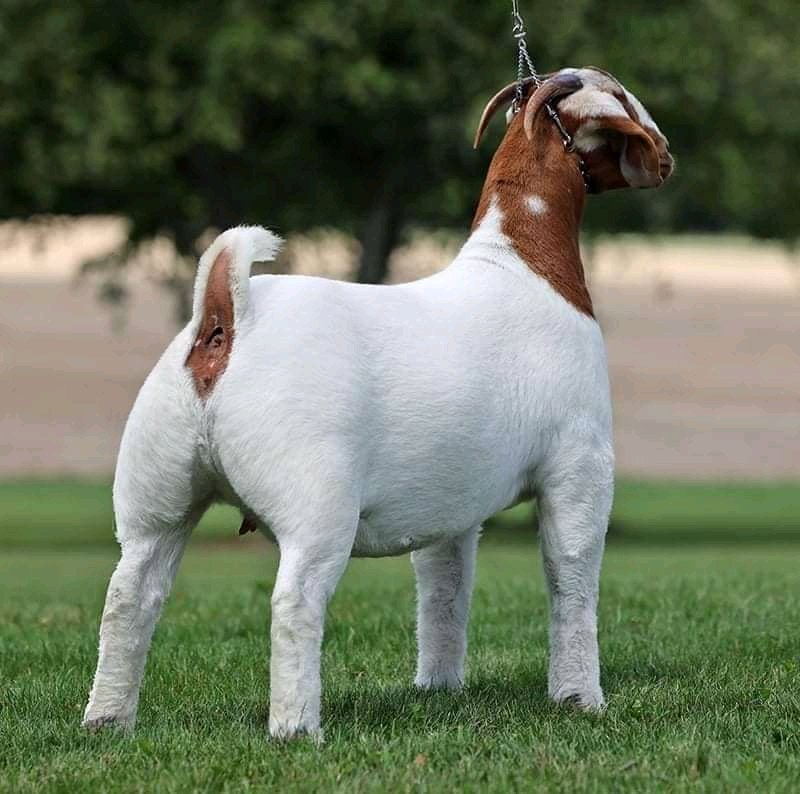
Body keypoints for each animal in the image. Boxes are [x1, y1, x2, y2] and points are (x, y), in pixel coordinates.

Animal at [83, 67, 673, 739]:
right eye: (621, 98)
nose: (667, 156)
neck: (524, 266)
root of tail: (225, 315)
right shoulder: (579, 468)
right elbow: (571, 578)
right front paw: (579, 698)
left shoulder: (452, 507)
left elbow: (443, 590)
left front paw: (439, 688)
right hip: (316, 508)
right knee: (294, 602)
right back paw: (297, 728)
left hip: (155, 502)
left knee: (129, 598)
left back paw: (107, 720)